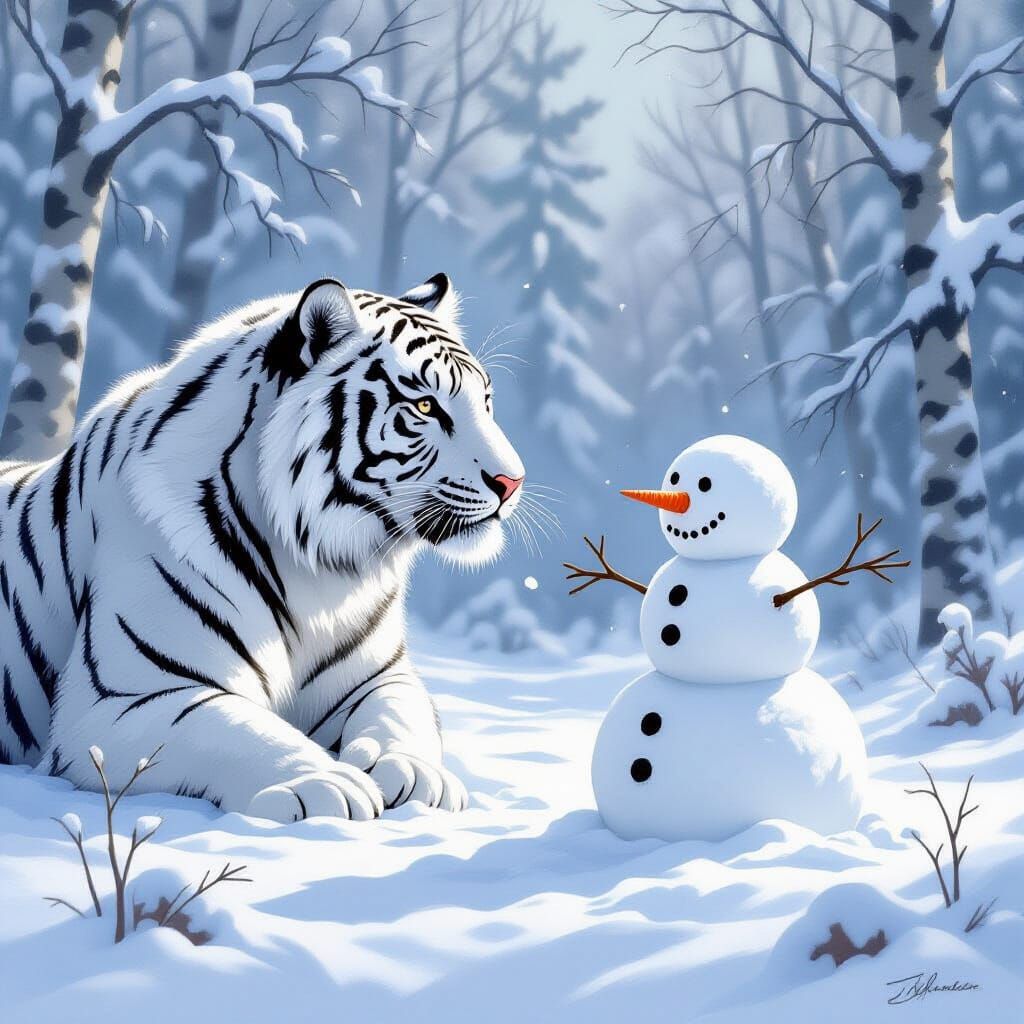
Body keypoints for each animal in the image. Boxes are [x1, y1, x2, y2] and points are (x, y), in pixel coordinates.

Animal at [0, 273, 525, 822]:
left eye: (486, 401)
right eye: (425, 406)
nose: (513, 482)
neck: (318, 566)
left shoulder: (380, 677)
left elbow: (402, 717)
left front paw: (416, 774)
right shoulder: (123, 699)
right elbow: (236, 729)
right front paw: (327, 782)